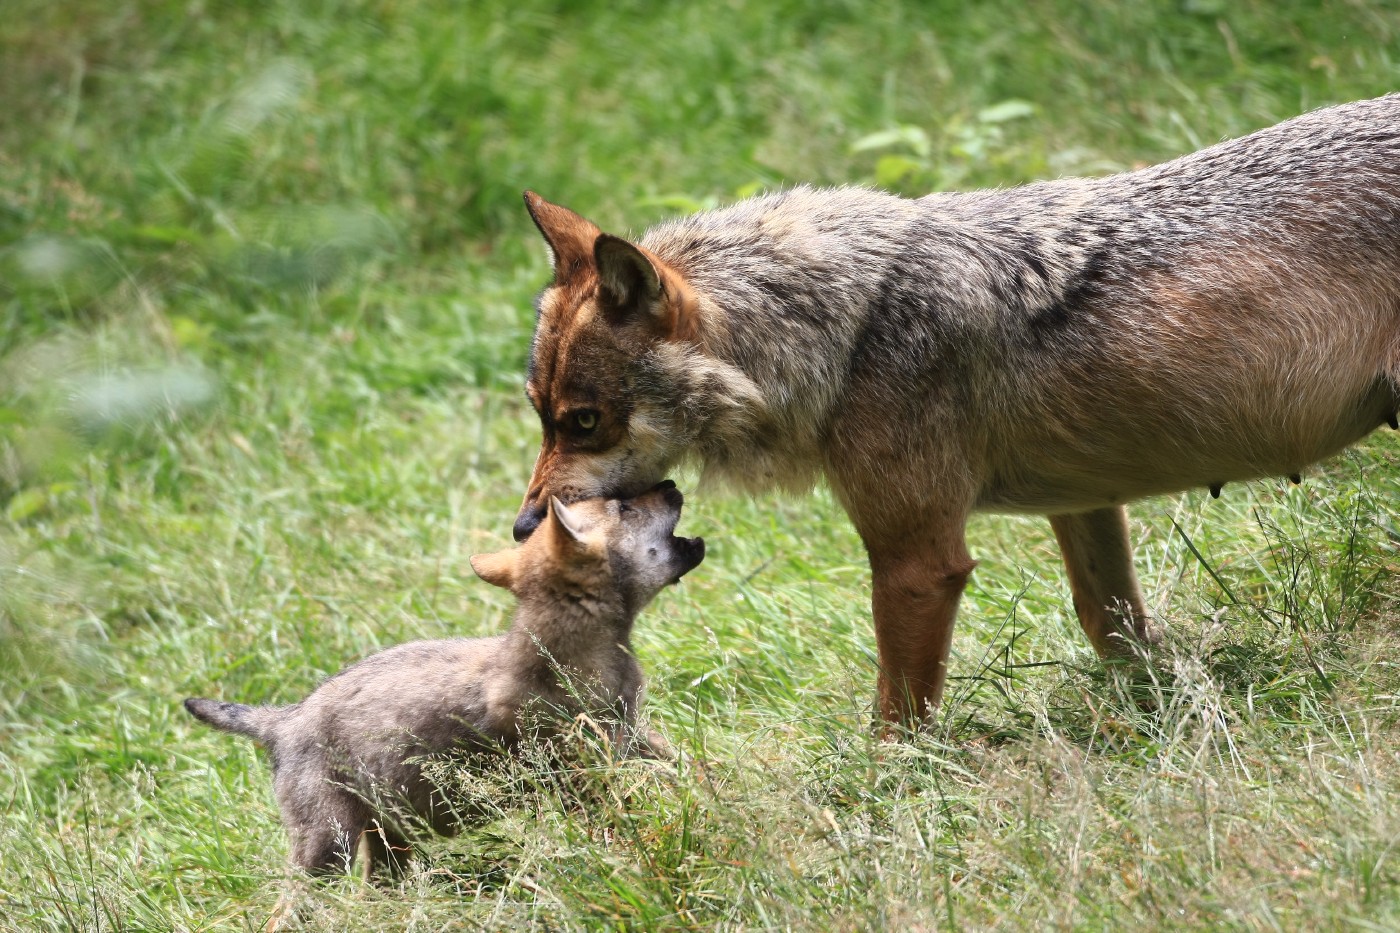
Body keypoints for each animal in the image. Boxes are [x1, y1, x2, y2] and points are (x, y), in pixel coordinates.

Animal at [512, 94, 1400, 722]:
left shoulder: (918, 560)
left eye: (584, 421)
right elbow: (1112, 626)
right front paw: (1158, 717)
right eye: (541, 412)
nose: (524, 525)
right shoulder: (1085, 502)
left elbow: (896, 715)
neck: (846, 327)